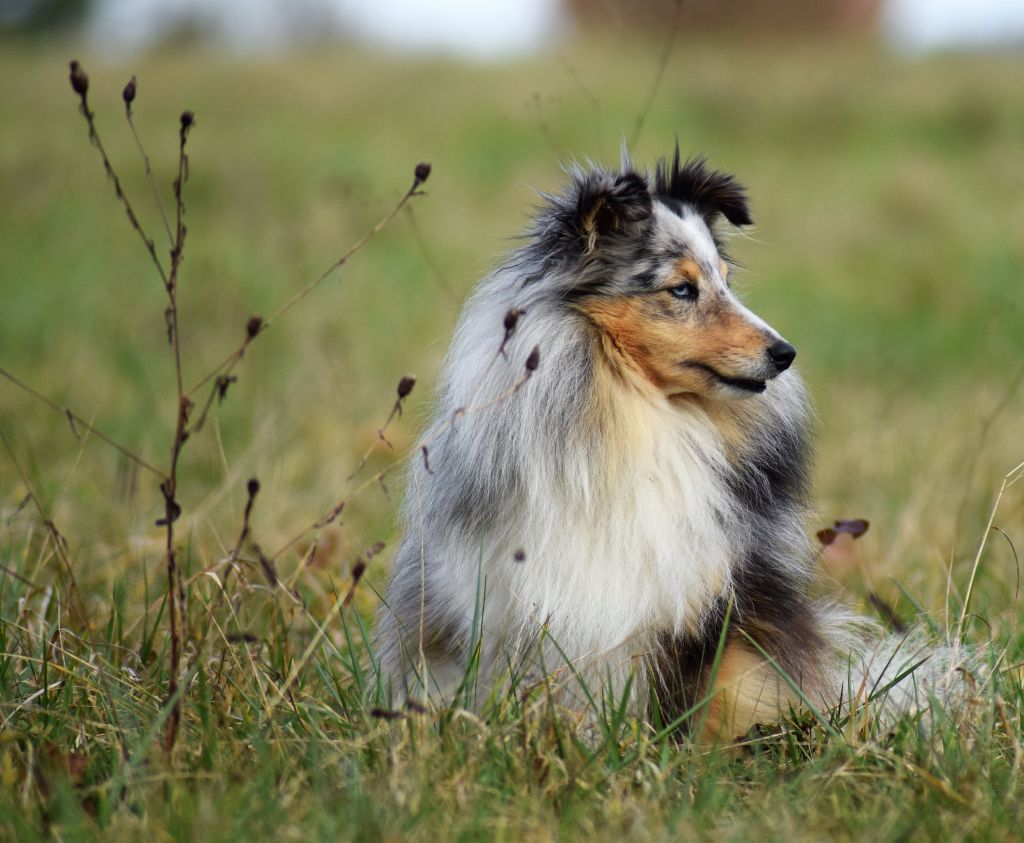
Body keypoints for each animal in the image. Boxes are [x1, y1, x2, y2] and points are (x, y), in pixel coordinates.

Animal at [374, 148, 958, 741]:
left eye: (727, 281)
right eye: (682, 289)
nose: (784, 353)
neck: (640, 410)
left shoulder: (709, 599)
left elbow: (700, 700)